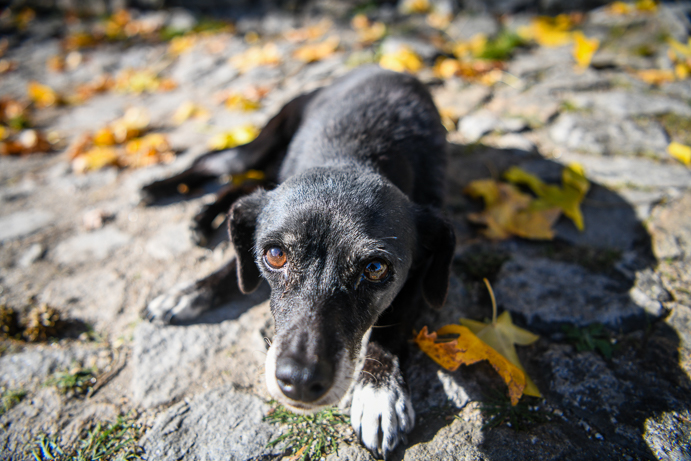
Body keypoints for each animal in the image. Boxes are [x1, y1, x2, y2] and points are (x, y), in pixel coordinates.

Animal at [143, 65, 456, 456]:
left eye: (375, 269)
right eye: (275, 255)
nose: (301, 381)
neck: (355, 154)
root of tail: (377, 67)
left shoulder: (418, 274)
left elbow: (391, 325)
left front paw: (379, 393)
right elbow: (235, 264)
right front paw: (189, 291)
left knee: (240, 184)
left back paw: (200, 217)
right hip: (258, 147)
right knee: (215, 163)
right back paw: (159, 189)